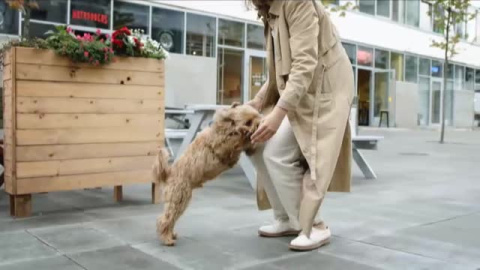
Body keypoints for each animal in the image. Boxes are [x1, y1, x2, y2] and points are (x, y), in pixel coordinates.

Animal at [154, 102, 260, 246]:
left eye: (258, 116)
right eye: (248, 122)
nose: (260, 124)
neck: (226, 127)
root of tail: (169, 173)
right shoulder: (224, 144)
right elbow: (238, 138)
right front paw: (246, 136)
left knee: (171, 219)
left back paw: (171, 234)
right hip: (179, 198)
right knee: (165, 219)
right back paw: (167, 238)